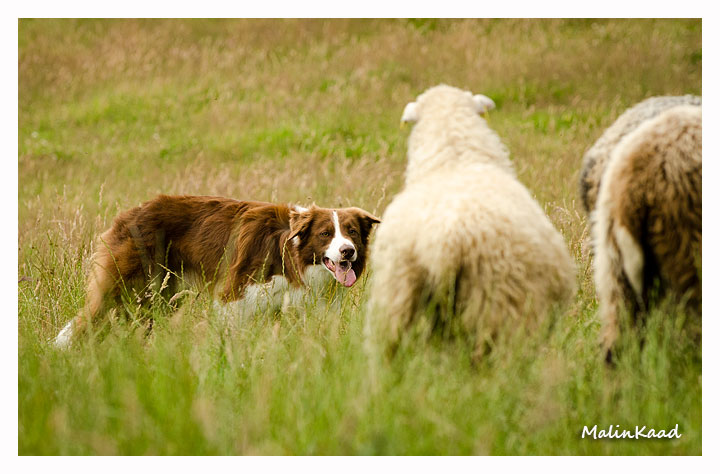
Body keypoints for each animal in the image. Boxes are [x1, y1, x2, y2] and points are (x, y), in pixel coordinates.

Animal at [54, 194, 380, 346]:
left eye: (351, 232)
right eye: (326, 233)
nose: (347, 252)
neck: (291, 254)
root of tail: (127, 214)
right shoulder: (234, 298)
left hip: (161, 296)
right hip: (130, 287)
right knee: (86, 322)